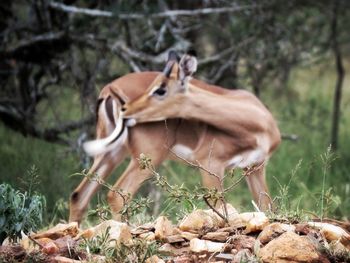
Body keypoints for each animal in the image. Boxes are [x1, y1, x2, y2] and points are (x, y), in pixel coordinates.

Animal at [69, 51, 282, 223]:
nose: (127, 109)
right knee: (117, 195)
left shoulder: (256, 167)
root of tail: (109, 89)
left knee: (79, 196)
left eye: (160, 89)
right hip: (147, 157)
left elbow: (266, 207)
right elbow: (219, 209)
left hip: (113, 153)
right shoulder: (210, 163)